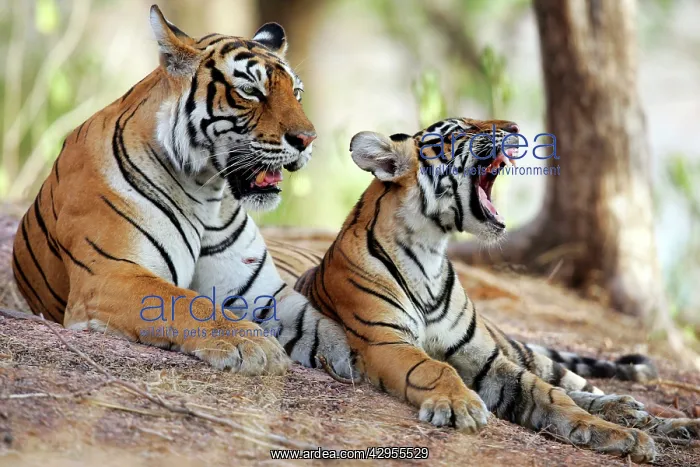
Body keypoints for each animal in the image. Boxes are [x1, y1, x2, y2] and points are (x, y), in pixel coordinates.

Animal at [10, 5, 354, 378]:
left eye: (297, 93)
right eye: (250, 91)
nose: (307, 139)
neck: (208, 193)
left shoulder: (264, 293)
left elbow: (326, 329)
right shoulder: (110, 272)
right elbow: (186, 301)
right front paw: (251, 344)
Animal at [276, 117, 700, 462]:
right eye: (459, 131)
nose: (514, 128)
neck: (428, 252)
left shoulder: (485, 357)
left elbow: (547, 393)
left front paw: (616, 433)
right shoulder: (386, 341)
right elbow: (435, 367)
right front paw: (459, 404)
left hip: (518, 348)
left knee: (573, 382)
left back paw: (656, 418)